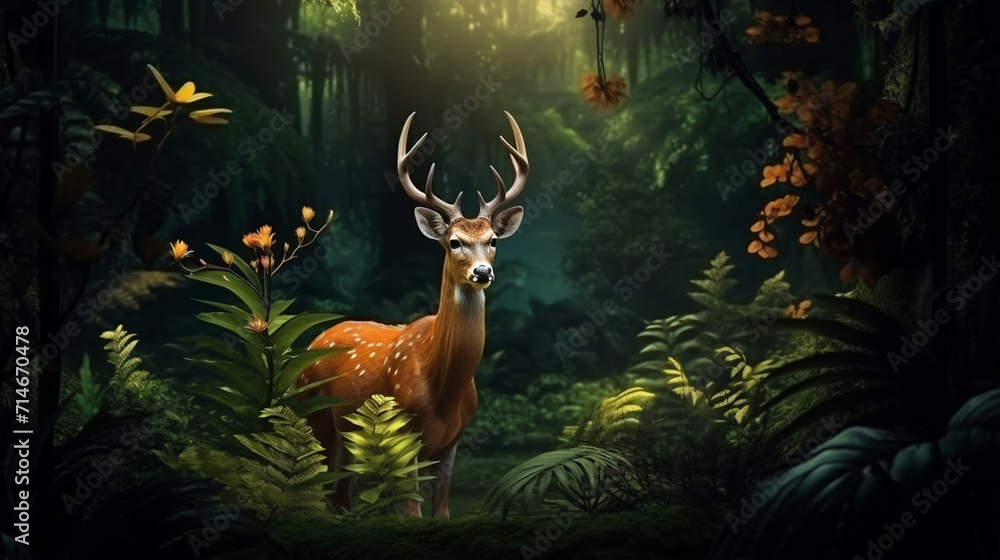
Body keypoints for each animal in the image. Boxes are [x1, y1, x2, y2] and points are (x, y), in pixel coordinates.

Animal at [298, 111, 529, 519]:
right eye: (454, 242)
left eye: (493, 240)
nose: (482, 272)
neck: (443, 390)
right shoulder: (402, 435)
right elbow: (411, 513)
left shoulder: (453, 442)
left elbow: (442, 512)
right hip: (316, 415)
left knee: (340, 497)